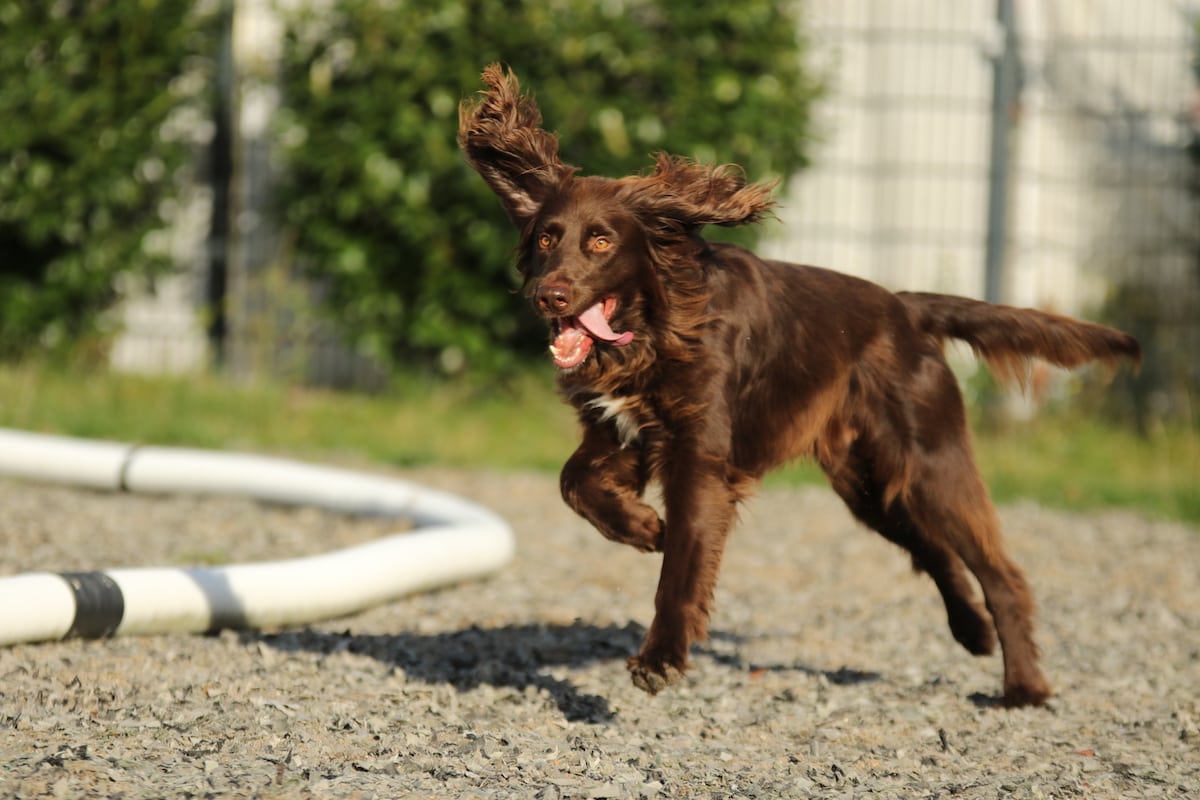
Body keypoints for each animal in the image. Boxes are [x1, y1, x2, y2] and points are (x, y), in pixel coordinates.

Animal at [456, 65, 1132, 710]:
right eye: (547, 237)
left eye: (600, 240)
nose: (549, 295)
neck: (655, 325)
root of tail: (906, 310)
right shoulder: (618, 430)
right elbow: (574, 484)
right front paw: (645, 527)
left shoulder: (700, 457)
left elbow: (682, 562)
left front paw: (661, 655)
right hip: (867, 484)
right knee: (933, 550)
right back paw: (973, 632)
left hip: (930, 460)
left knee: (999, 571)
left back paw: (1023, 688)